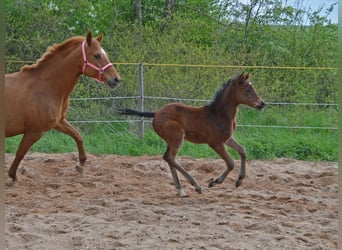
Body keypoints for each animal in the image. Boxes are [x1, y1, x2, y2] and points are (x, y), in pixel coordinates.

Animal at [5, 32, 121, 181]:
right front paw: (13, 176)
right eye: (97, 55)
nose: (116, 79)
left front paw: (80, 164)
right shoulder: (34, 132)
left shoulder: (59, 122)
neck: (46, 87)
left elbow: (77, 135)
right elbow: (20, 153)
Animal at [119, 73, 266, 196]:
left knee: (168, 158)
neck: (219, 114)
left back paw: (180, 190)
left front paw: (239, 181)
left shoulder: (226, 139)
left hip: (171, 140)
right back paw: (196, 186)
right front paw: (214, 182)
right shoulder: (215, 143)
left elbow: (242, 151)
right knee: (170, 158)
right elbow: (230, 163)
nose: (262, 104)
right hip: (177, 137)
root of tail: (155, 113)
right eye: (247, 89)